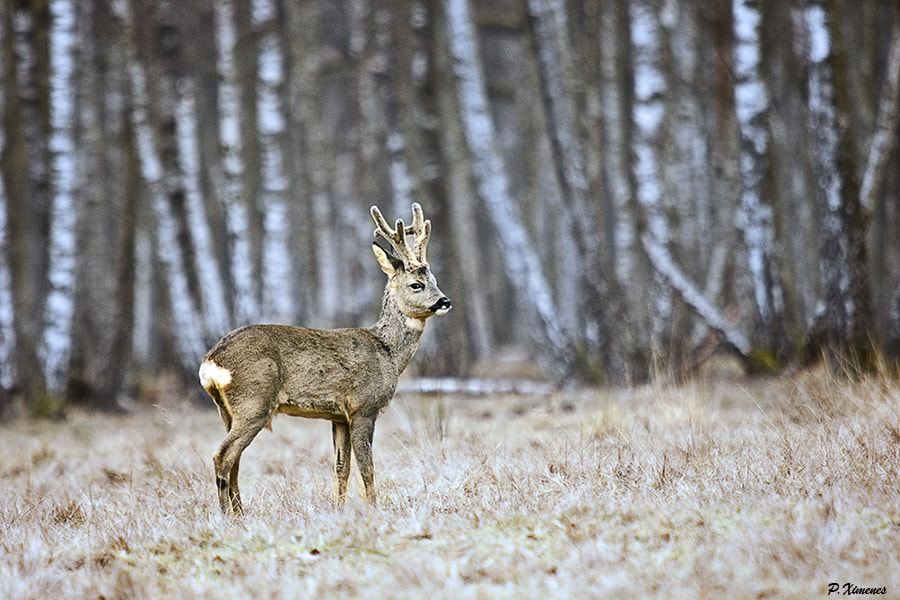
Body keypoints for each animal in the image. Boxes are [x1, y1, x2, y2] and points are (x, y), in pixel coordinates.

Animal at [199, 204, 448, 512]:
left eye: (434, 281)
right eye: (416, 284)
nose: (445, 301)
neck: (387, 352)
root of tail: (211, 361)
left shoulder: (338, 416)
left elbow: (341, 467)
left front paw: (338, 508)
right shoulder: (363, 407)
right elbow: (367, 466)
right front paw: (373, 508)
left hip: (227, 409)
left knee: (234, 458)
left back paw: (241, 513)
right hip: (253, 402)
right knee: (223, 455)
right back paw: (228, 515)